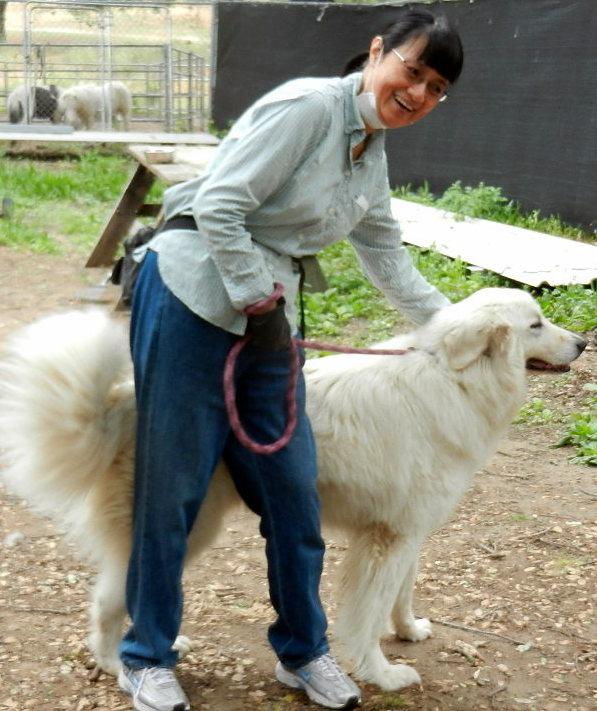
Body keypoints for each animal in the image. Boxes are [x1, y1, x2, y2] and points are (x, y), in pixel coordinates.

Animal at [0, 288, 588, 688]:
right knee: (109, 598)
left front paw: (410, 630)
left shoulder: (409, 531)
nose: (584, 342)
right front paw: (382, 673)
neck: (455, 378)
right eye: (536, 324)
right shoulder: (386, 540)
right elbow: (367, 615)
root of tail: (124, 400)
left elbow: (403, 592)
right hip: (187, 529)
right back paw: (115, 664)